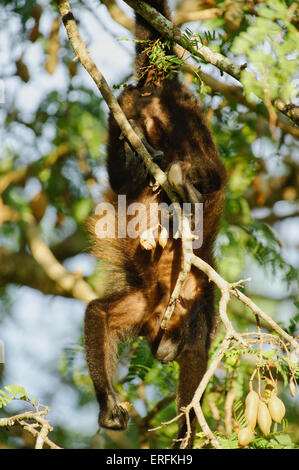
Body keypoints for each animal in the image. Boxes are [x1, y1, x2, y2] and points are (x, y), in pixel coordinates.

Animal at [84, 0, 225, 448]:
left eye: (165, 349)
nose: (162, 353)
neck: (168, 307)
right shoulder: (168, 312)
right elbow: (99, 314)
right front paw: (109, 408)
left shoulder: (164, 310)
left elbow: (97, 314)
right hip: (183, 111)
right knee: (211, 171)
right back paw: (181, 180)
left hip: (159, 112)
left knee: (127, 170)